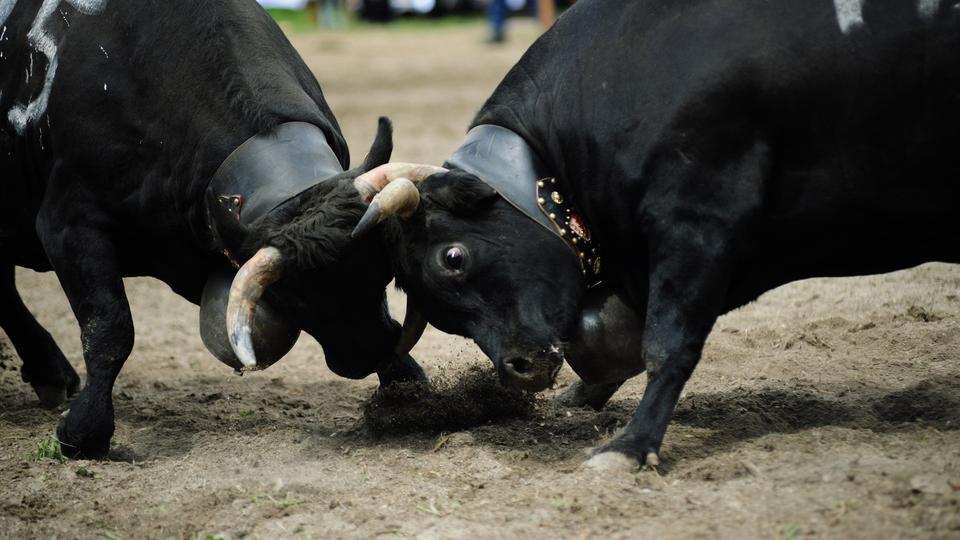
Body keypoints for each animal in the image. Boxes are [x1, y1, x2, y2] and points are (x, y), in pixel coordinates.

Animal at [0, 0, 428, 458]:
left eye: (383, 274)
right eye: (297, 297)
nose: (371, 352)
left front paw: (406, 387)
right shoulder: (68, 224)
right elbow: (110, 327)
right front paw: (85, 431)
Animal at [348, 0, 960, 470]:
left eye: (452, 256)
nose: (518, 370)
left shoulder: (697, 220)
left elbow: (666, 344)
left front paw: (630, 446)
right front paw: (582, 398)